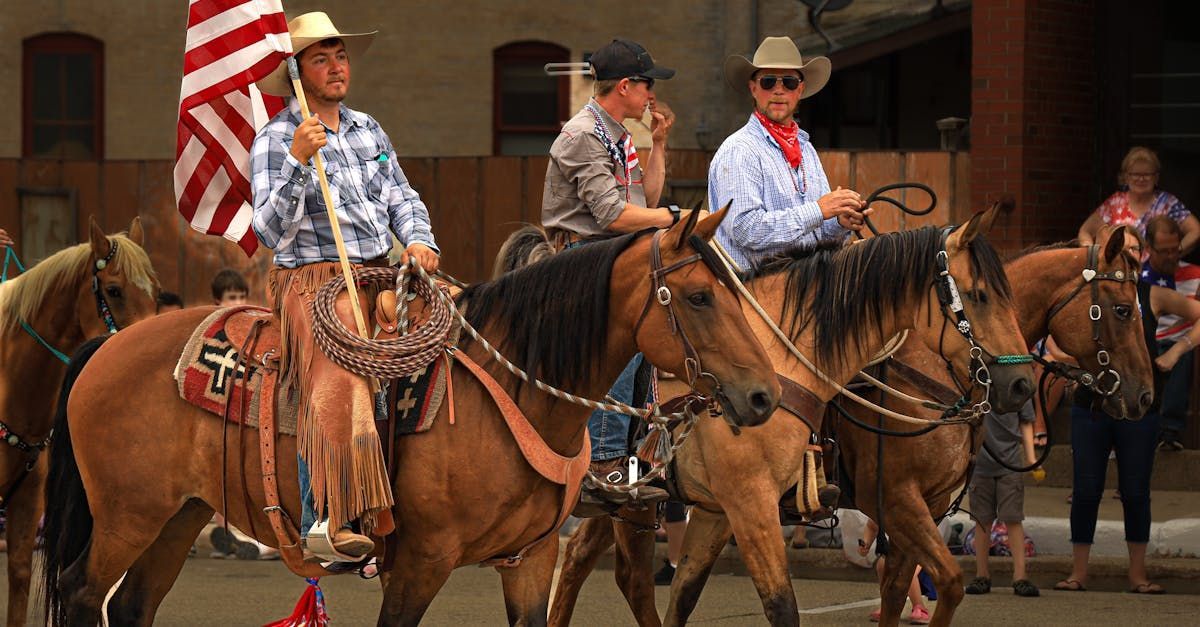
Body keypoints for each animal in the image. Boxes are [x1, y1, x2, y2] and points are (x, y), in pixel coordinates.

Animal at [37, 210, 782, 624]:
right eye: (698, 296)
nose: (765, 396)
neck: (511, 388)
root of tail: (107, 345)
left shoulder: (530, 559)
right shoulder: (420, 562)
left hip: (178, 513)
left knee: (131, 605)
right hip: (126, 515)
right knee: (81, 593)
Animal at [549, 206, 1036, 624]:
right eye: (978, 295)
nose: (1022, 384)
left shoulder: (719, 509)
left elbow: (906, 588)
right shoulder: (774, 502)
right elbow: (787, 606)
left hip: (632, 503)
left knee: (582, 560)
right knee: (622, 575)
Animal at [835, 225, 1152, 624]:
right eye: (1123, 310)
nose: (1146, 395)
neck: (934, 364)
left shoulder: (928, 501)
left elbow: (895, 590)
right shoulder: (897, 497)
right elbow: (950, 582)